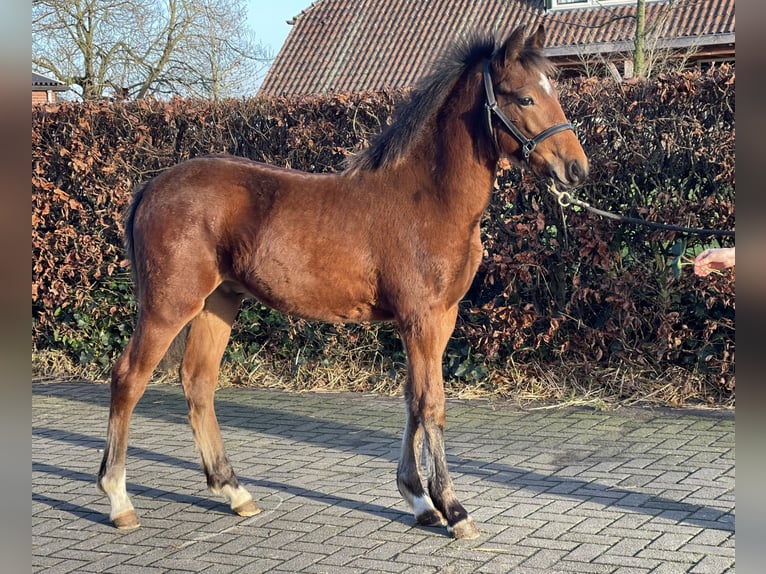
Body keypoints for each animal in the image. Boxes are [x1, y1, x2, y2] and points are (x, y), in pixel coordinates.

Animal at [96, 25, 588, 540]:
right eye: (525, 97)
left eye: (554, 90)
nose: (577, 168)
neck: (427, 198)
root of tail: (151, 187)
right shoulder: (422, 318)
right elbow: (432, 404)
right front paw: (453, 509)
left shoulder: (438, 319)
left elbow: (412, 400)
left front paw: (419, 499)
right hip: (169, 305)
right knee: (128, 378)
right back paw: (119, 499)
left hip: (219, 302)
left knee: (198, 382)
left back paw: (234, 492)